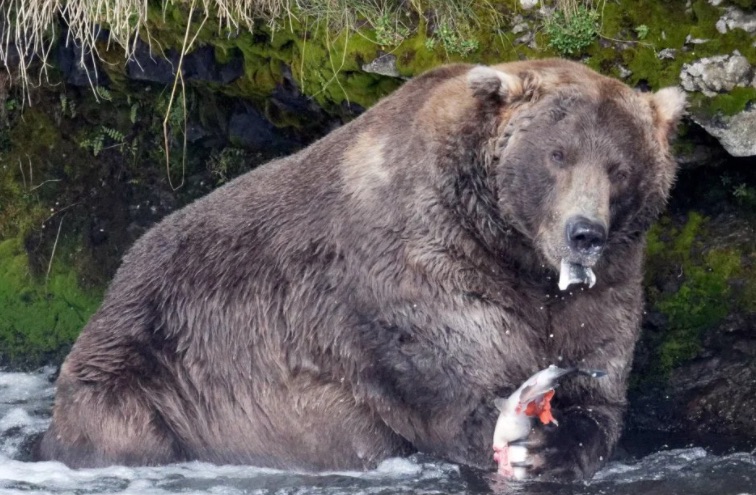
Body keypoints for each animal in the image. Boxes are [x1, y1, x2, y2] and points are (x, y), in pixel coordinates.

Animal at [38, 59, 686, 480]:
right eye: (557, 155)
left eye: (618, 166)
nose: (585, 233)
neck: (515, 254)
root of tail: (116, 279)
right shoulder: (413, 271)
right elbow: (451, 381)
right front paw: (518, 432)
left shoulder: (602, 290)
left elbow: (598, 389)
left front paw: (558, 444)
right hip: (148, 369)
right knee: (119, 425)